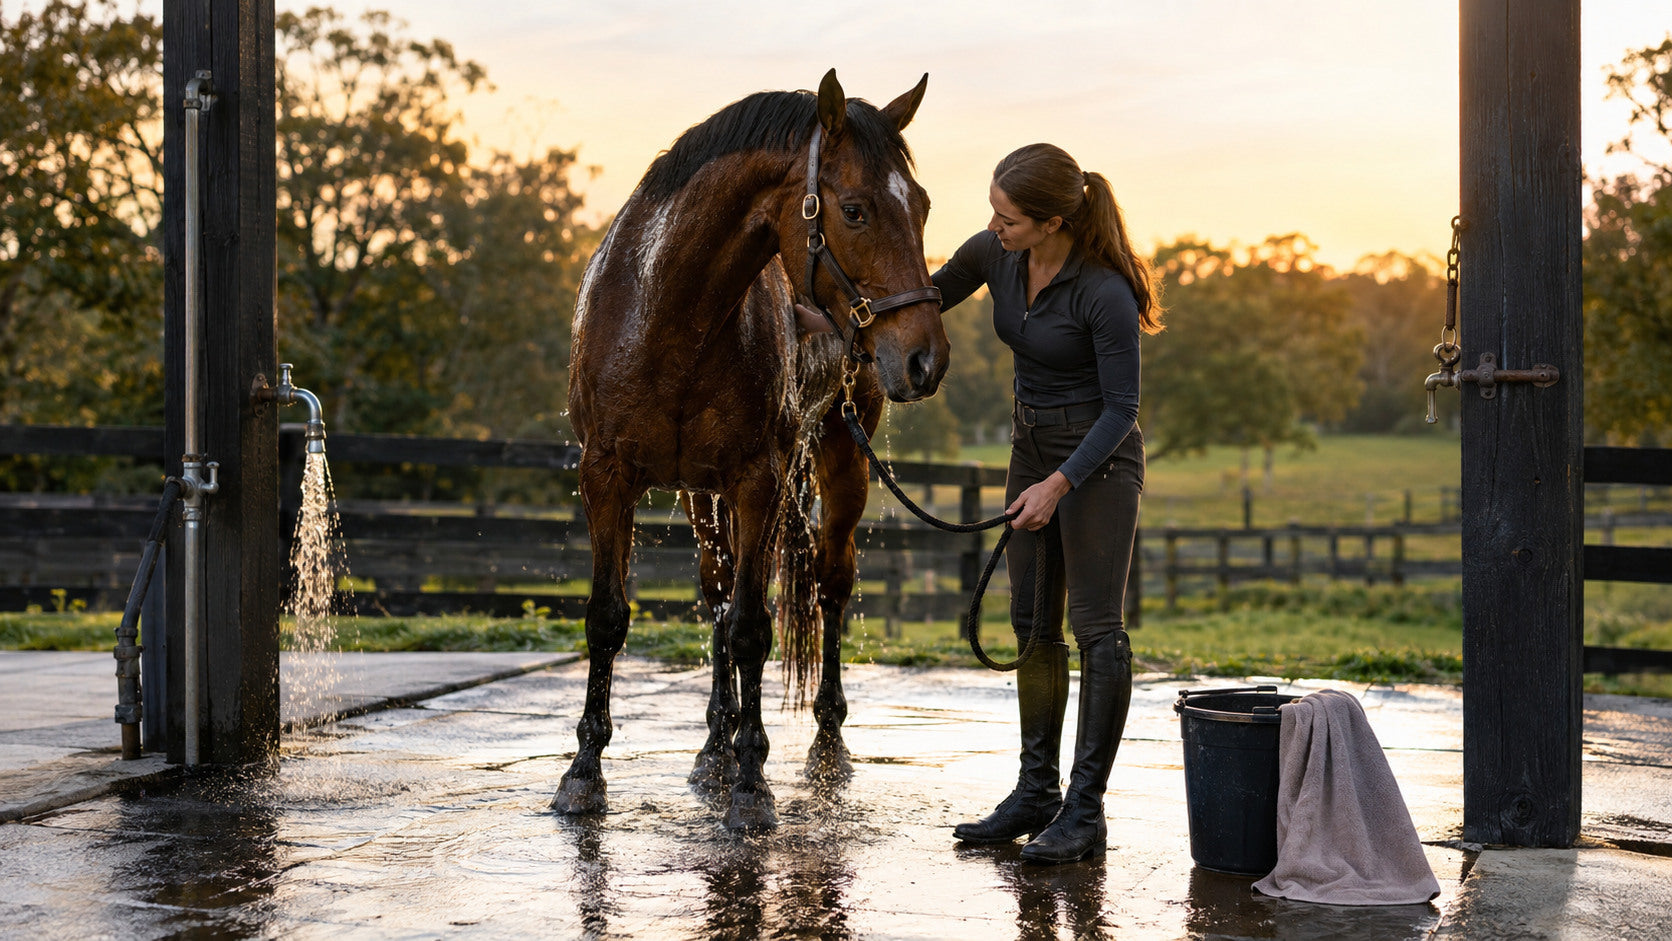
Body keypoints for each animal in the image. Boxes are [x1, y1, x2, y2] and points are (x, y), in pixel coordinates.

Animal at [554, 70, 950, 830]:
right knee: (716, 590)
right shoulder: (607, 479)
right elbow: (609, 617)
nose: (925, 360)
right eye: (854, 210)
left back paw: (823, 734)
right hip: (699, 494)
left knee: (828, 585)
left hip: (840, 464)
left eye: (920, 206)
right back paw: (715, 736)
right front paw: (584, 774)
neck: (668, 313)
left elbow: (751, 629)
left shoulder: (757, 482)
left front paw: (751, 783)